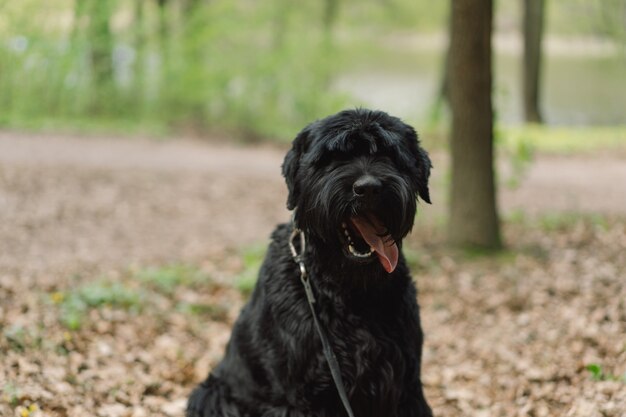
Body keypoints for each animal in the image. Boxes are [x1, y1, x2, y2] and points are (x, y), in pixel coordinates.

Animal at [188, 109, 432, 414]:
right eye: (333, 157)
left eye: (389, 154)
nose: (368, 188)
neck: (348, 291)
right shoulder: (298, 396)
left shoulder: (405, 388)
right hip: (212, 394)